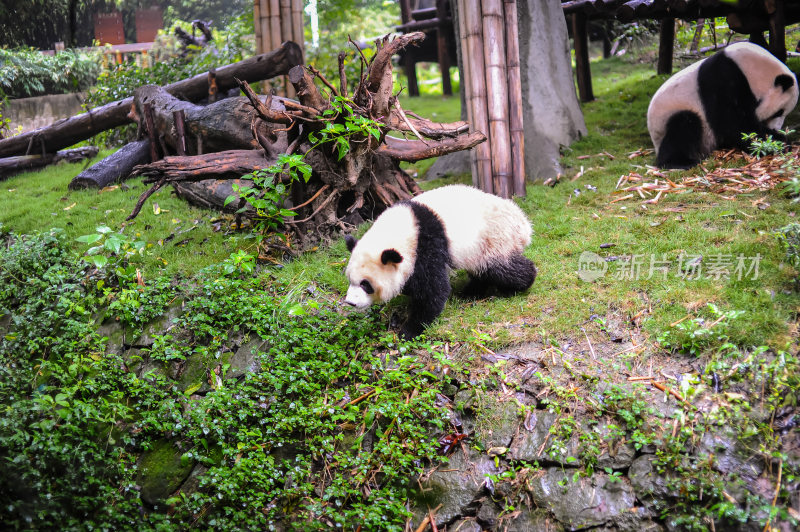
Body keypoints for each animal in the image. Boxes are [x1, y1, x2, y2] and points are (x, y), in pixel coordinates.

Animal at [344, 185, 536, 338]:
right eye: (351, 280)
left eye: (365, 284)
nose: (350, 302)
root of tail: (524, 225)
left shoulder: (427, 244)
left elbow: (433, 290)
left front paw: (409, 331)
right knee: (482, 271)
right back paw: (471, 292)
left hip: (493, 239)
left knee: (500, 268)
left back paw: (518, 285)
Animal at [648, 41, 796, 168]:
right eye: (779, 112)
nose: (776, 128)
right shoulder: (721, 80)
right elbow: (732, 123)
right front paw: (779, 142)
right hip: (669, 118)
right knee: (683, 125)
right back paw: (680, 162)